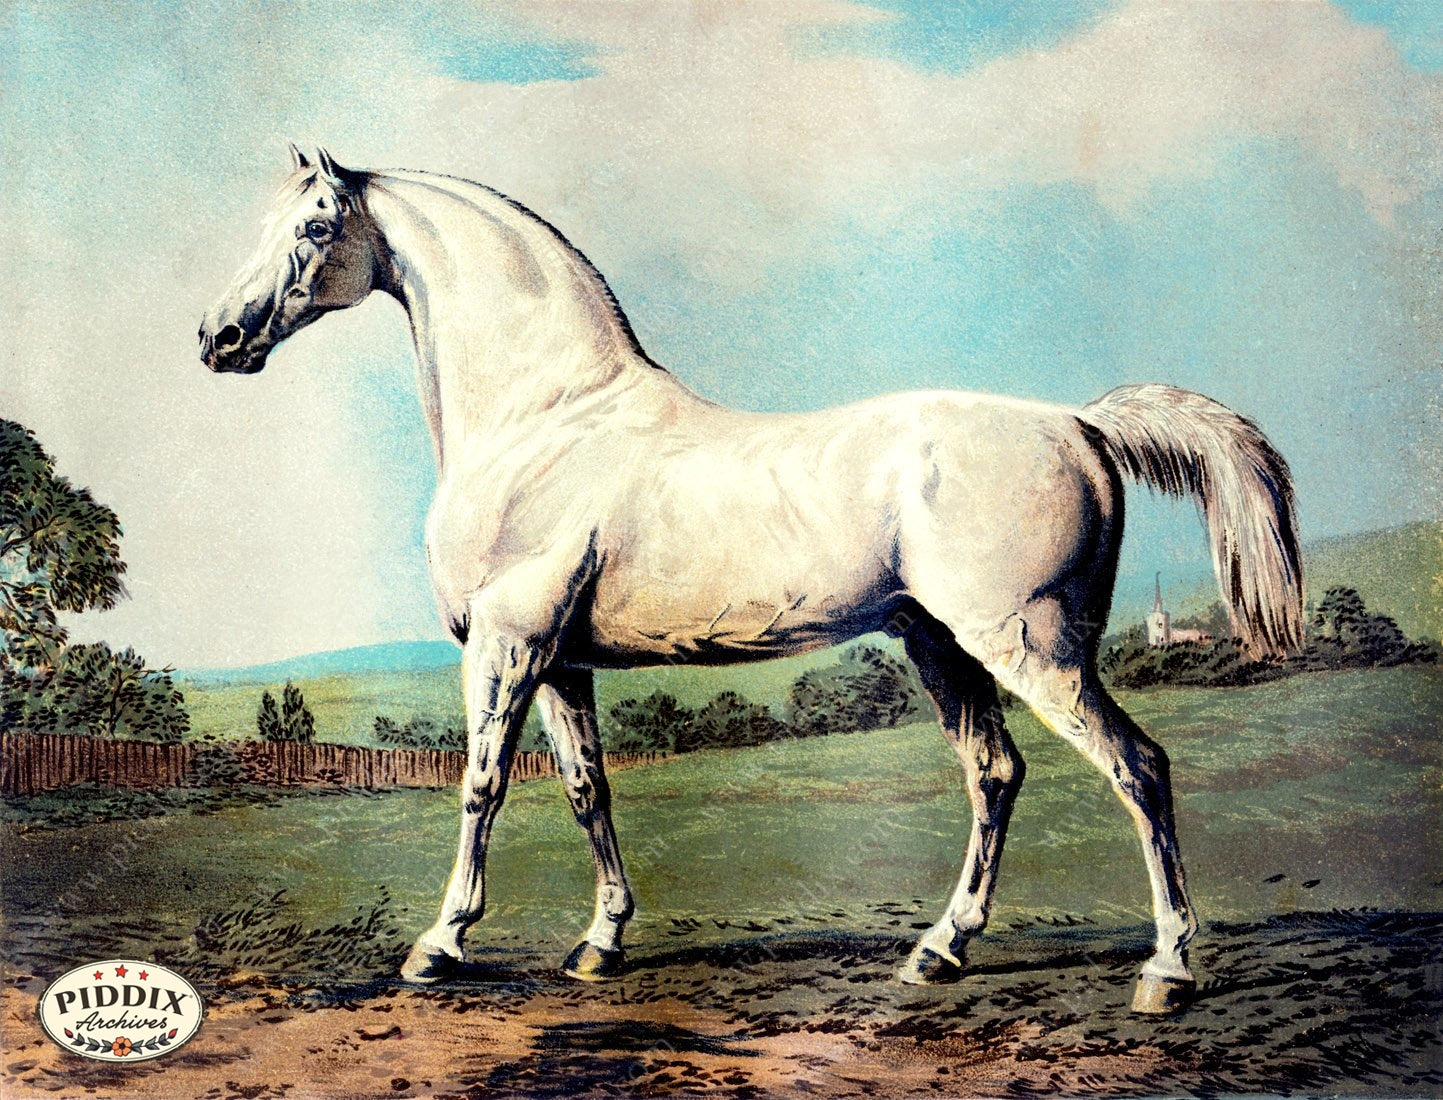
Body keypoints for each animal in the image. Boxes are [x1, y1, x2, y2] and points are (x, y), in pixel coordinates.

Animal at [200, 145, 1302, 1014]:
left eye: (313, 223)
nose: (219, 337)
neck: (549, 418)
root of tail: (1077, 421)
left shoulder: (510, 645)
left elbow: (480, 787)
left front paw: (437, 947)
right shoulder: (563, 663)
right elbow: (586, 789)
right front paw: (600, 945)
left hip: (1029, 645)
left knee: (1137, 767)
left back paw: (1166, 970)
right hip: (942, 644)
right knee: (995, 775)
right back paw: (938, 952)